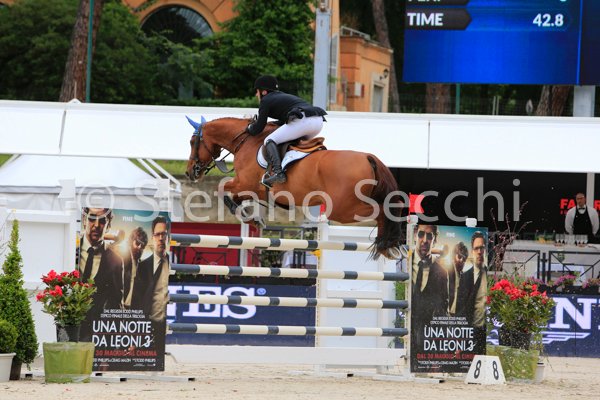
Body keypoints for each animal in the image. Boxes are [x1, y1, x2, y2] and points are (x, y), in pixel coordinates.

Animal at [185, 116, 403, 260]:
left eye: (193, 141)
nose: (190, 172)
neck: (246, 141)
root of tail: (369, 157)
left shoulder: (245, 183)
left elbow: (222, 187)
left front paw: (248, 217)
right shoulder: (250, 189)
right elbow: (235, 196)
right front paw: (252, 217)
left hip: (343, 209)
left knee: (382, 210)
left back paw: (385, 244)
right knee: (392, 207)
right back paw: (392, 245)